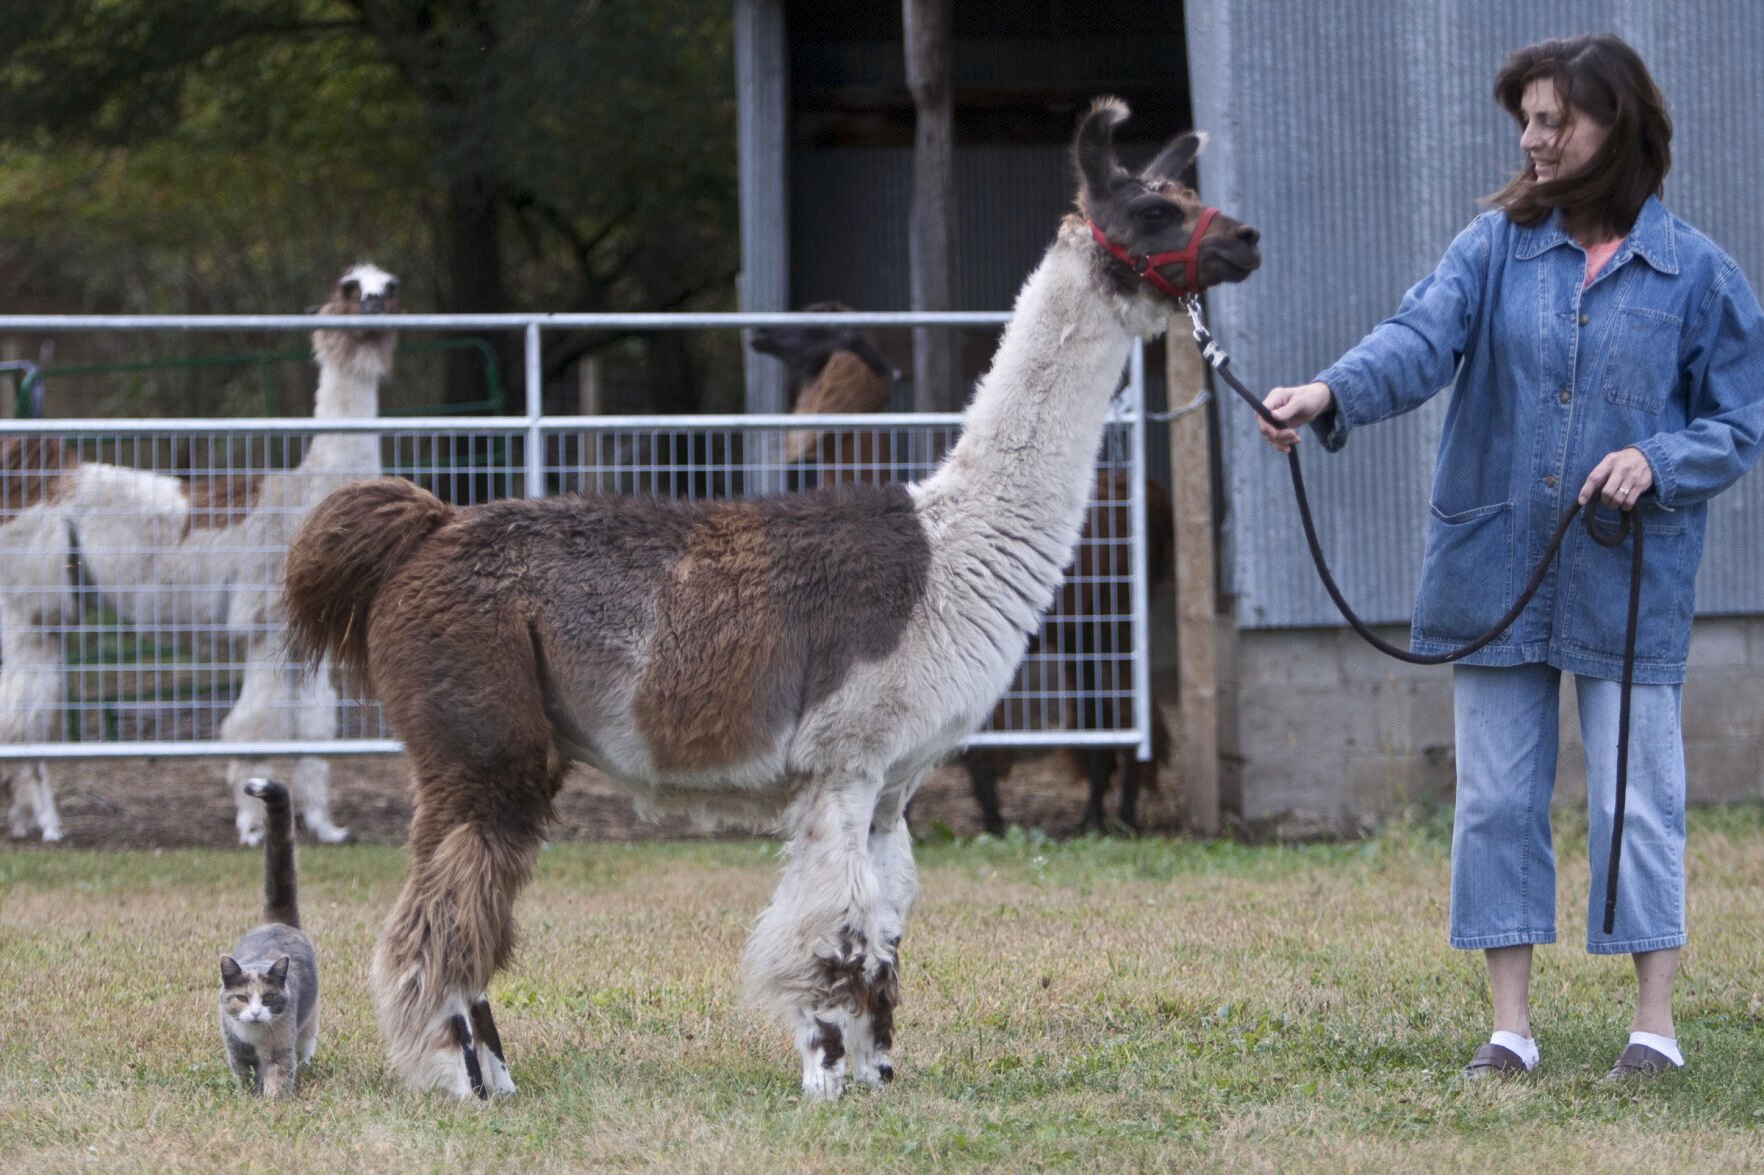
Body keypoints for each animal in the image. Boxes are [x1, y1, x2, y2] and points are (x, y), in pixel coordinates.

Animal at [218, 772, 319, 1093]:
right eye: (241, 997)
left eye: (269, 998)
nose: (255, 1012)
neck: (254, 1036)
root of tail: (278, 921)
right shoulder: (236, 1049)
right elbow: (243, 1075)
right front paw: (246, 1098)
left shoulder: (279, 1050)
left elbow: (279, 1076)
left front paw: (272, 1102)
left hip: (308, 1023)